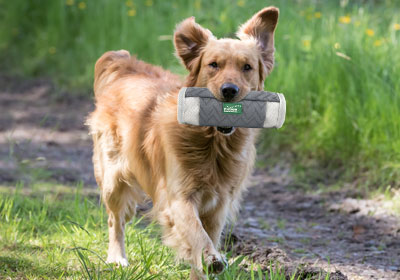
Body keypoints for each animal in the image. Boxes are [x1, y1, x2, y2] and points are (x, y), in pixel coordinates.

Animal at [87, 6, 278, 278]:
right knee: (116, 220)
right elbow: (197, 235)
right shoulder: (178, 198)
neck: (212, 144)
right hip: (113, 179)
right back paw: (116, 258)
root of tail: (125, 64)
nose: (229, 90)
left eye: (247, 67)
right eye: (213, 65)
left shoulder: (219, 204)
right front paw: (211, 259)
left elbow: (208, 236)